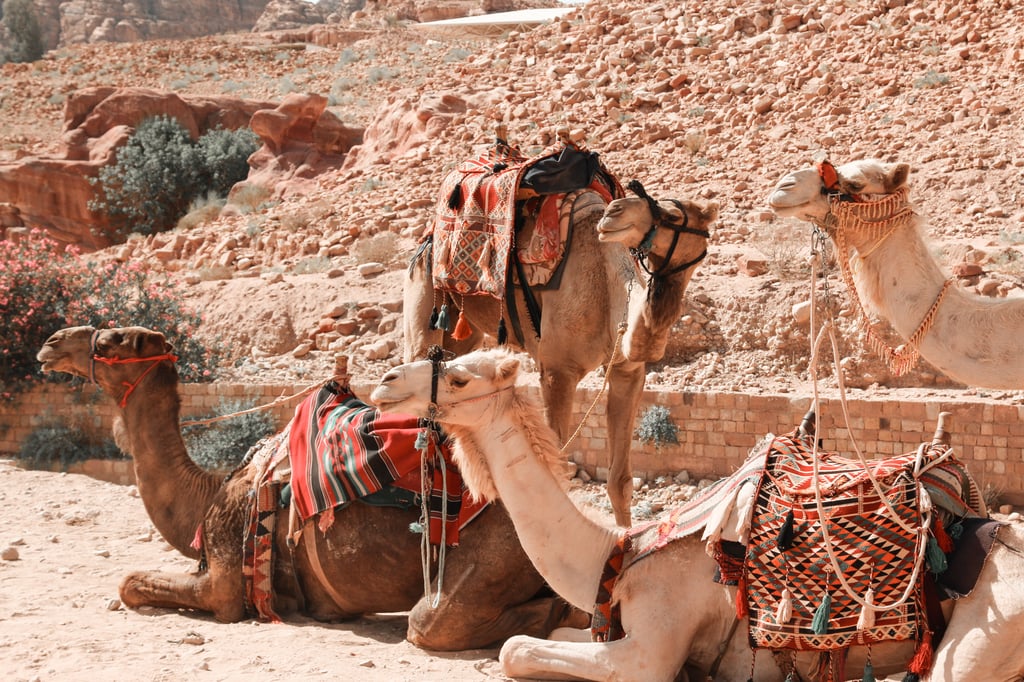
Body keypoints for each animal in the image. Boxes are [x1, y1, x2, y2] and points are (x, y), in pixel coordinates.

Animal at [36, 327, 589, 651]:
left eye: (111, 338)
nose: (52, 341)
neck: (208, 492)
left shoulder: (224, 585)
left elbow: (130, 581)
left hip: (494, 553)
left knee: (434, 621)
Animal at [372, 346, 1024, 679]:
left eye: (459, 377)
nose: (384, 381)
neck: (617, 554)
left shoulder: (652, 647)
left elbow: (514, 650)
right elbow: (544, 634)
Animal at [403, 183, 716, 522]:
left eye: (673, 215)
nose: (614, 212)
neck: (606, 285)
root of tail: (428, 239)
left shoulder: (627, 372)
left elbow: (620, 481)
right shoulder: (556, 372)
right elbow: (555, 472)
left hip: (463, 332)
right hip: (424, 296)